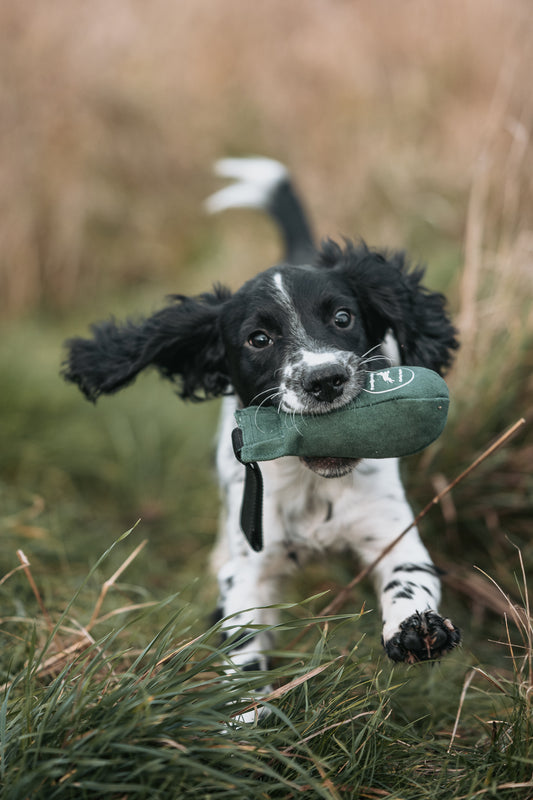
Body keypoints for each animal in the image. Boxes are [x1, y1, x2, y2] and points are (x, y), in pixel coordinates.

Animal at [62, 156, 460, 712]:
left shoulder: (388, 528)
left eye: (343, 316)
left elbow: (409, 575)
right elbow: (243, 633)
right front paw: (249, 712)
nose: (325, 380)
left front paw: (416, 627)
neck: (313, 484)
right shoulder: (252, 562)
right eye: (258, 339)